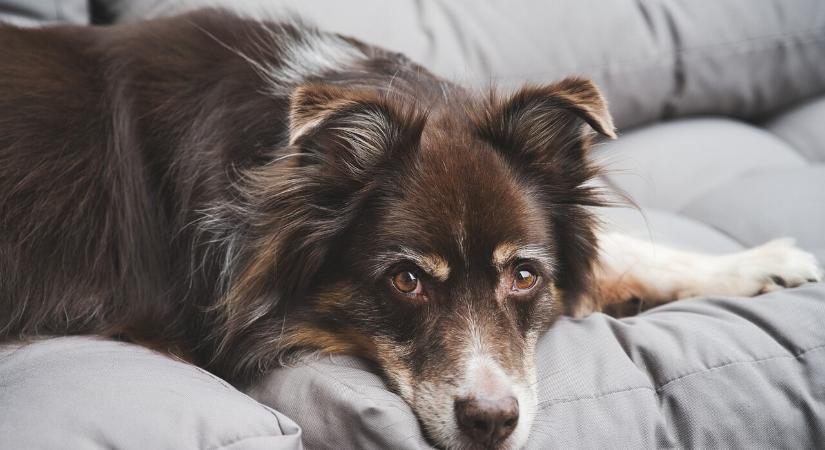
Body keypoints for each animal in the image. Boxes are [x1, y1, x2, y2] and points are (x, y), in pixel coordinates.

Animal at [3, 10, 820, 450]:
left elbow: (615, 248)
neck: (277, 161)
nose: (491, 423)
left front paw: (756, 264)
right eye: (405, 280)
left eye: (524, 274)